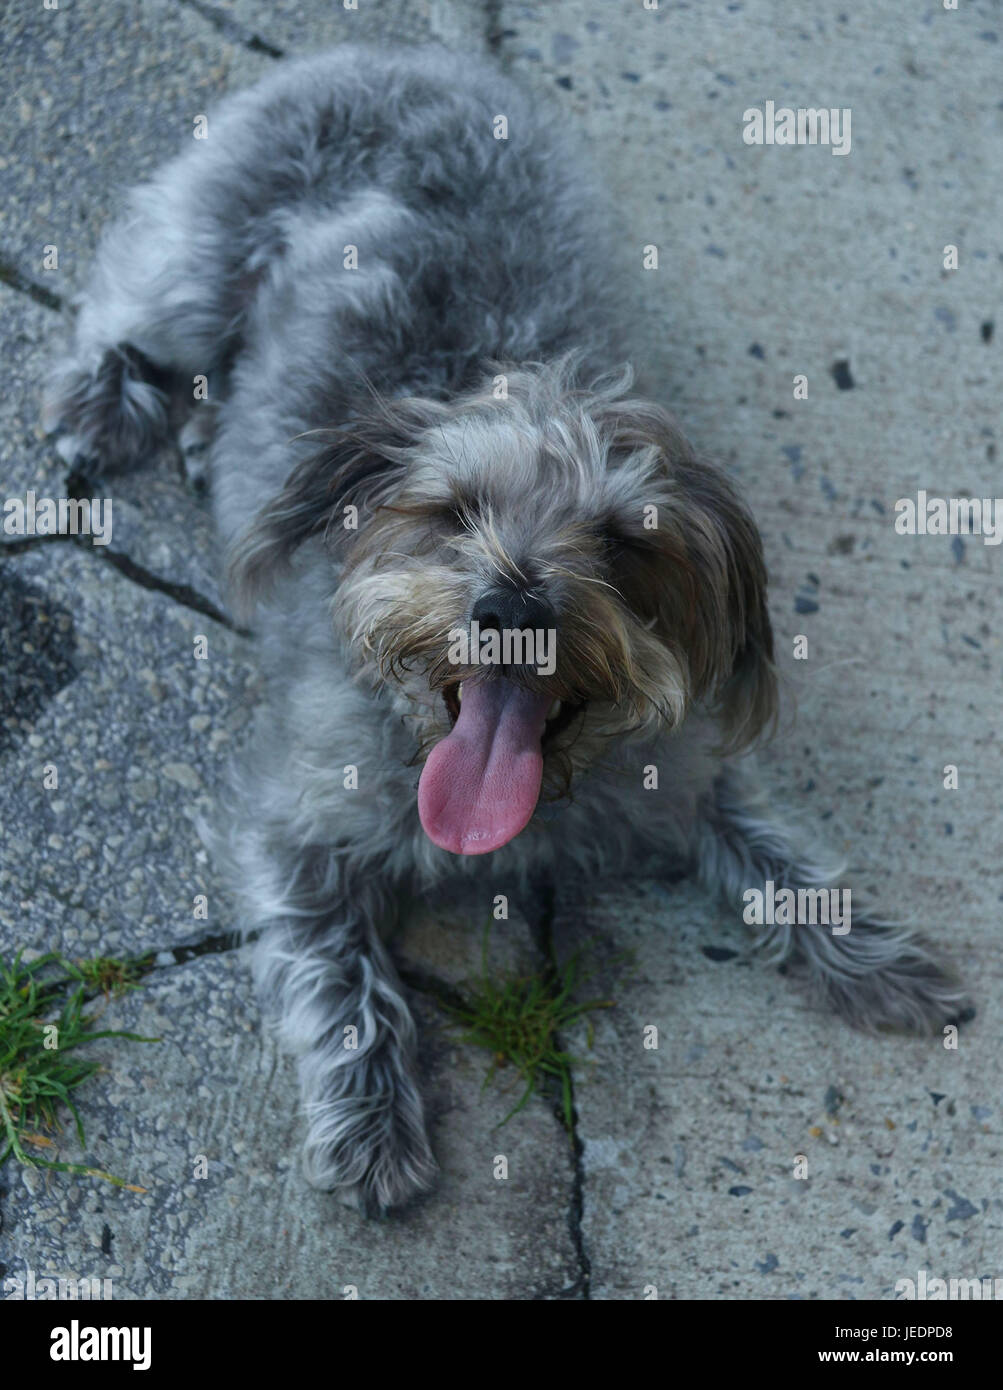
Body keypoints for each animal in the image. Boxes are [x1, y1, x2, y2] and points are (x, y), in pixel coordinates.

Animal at [43, 46, 966, 1217]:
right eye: (453, 511)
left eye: (622, 540)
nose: (514, 608)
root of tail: (400, 57)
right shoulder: (292, 827)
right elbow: (339, 976)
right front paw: (372, 1123)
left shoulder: (682, 777)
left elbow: (779, 854)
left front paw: (877, 956)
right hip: (195, 258)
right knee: (126, 309)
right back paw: (102, 404)